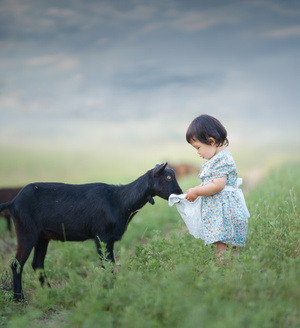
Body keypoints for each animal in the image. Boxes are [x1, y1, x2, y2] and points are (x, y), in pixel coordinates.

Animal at [0, 163, 180, 302]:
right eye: (167, 177)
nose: (180, 193)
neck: (118, 201)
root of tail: (13, 202)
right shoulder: (102, 236)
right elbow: (107, 265)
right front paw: (109, 291)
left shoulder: (108, 239)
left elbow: (109, 265)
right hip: (26, 232)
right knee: (16, 264)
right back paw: (19, 298)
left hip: (43, 236)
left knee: (37, 264)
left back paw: (51, 292)